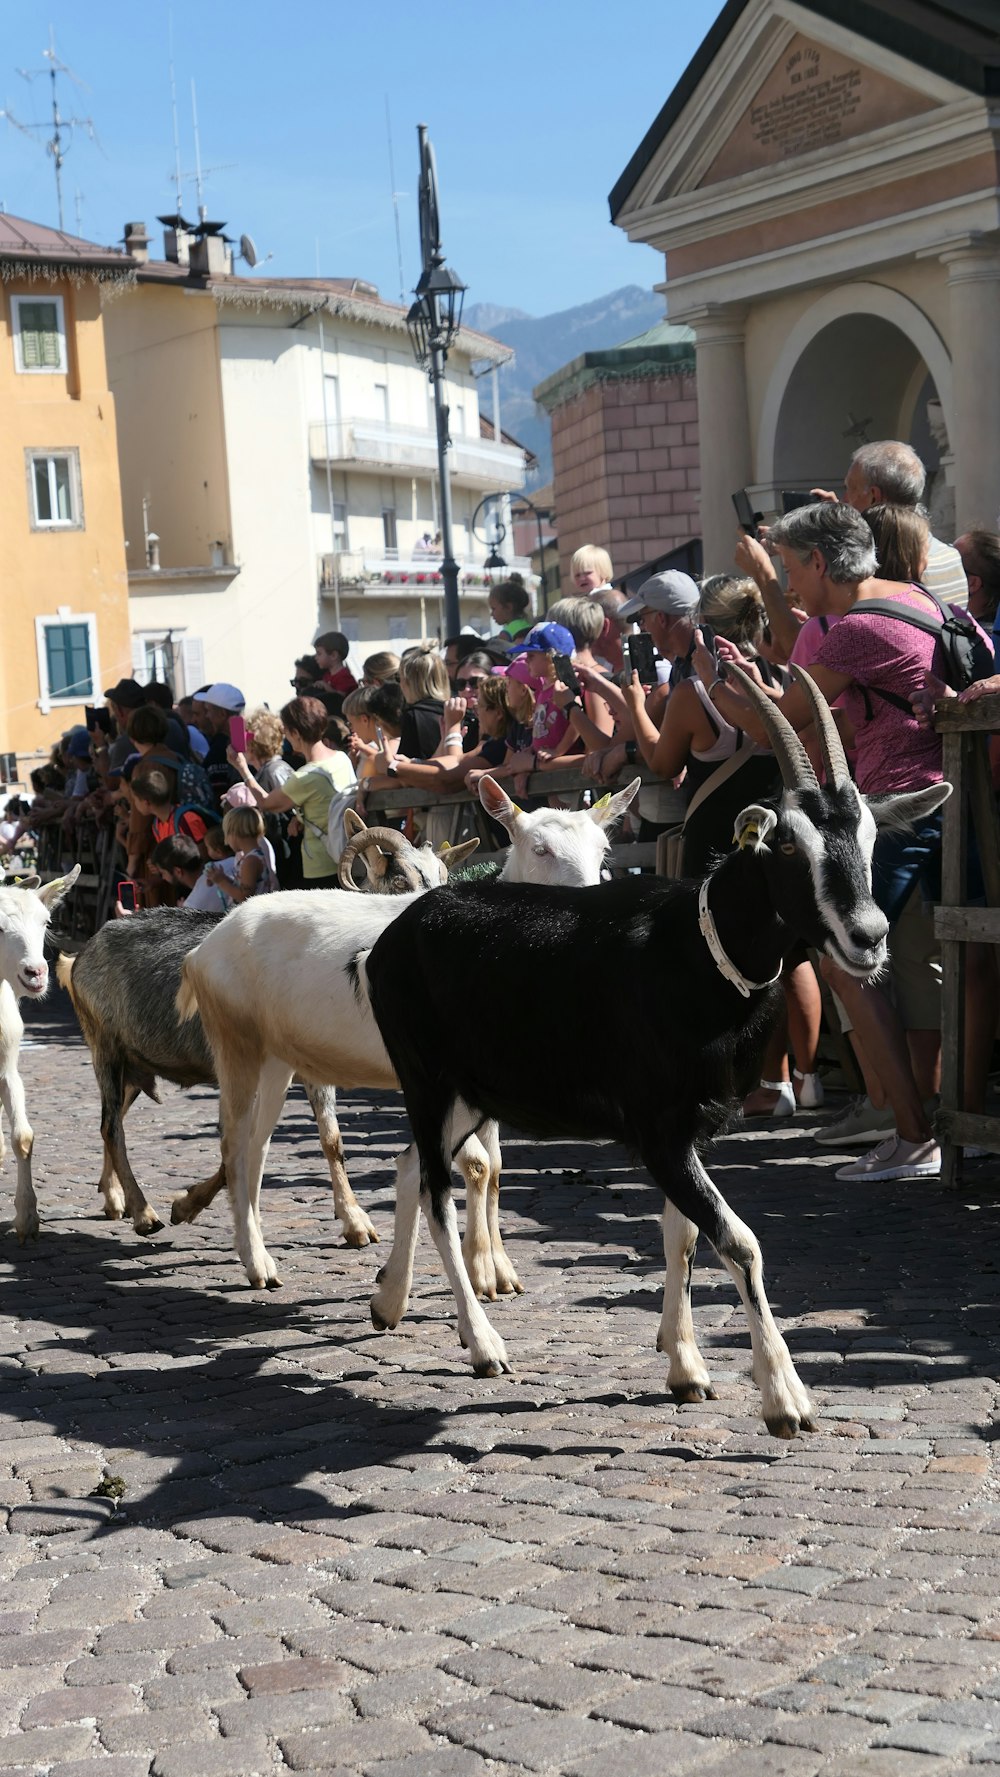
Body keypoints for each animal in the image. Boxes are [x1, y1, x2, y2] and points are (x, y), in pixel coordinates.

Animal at [175, 778, 639, 1293]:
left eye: (603, 852)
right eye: (540, 849)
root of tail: (205, 947)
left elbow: (496, 1168)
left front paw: (499, 1269)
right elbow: (476, 1165)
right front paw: (481, 1271)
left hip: (276, 1057)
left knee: (256, 1145)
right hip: (235, 1044)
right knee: (235, 1145)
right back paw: (255, 1262)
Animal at [365, 668, 952, 1442]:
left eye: (872, 834)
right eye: (787, 847)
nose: (870, 936)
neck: (696, 952)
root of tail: (392, 935)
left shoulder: (689, 1130)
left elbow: (683, 1235)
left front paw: (687, 1366)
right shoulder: (658, 1132)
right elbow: (740, 1241)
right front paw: (785, 1398)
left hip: (465, 1092)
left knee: (410, 1166)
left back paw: (390, 1301)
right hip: (427, 1078)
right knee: (435, 1191)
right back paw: (484, 1344)